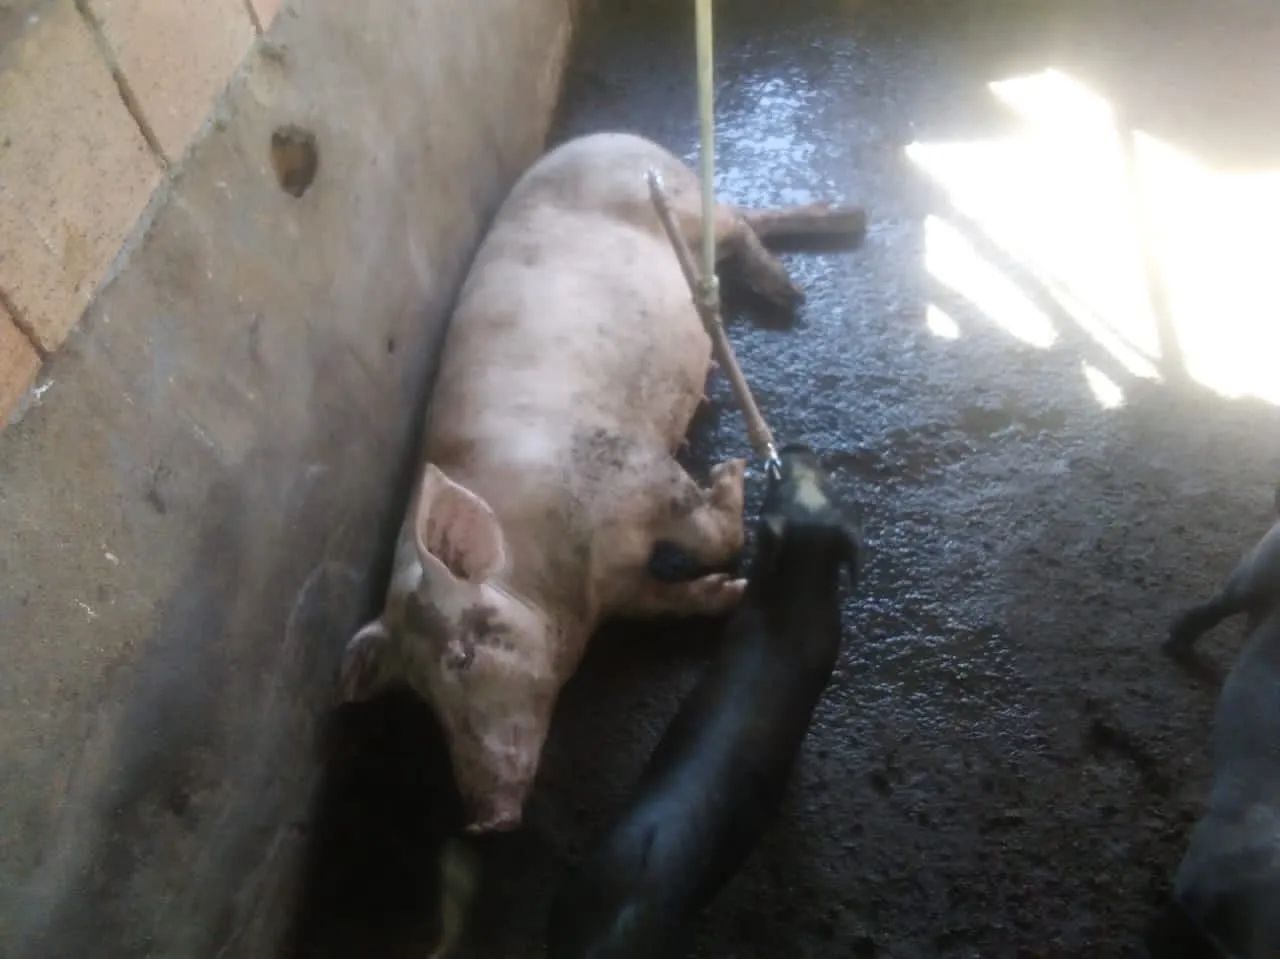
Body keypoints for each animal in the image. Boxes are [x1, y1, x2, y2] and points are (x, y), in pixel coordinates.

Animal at [338, 132, 864, 833]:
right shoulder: (621, 589)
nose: (485, 821)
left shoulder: (634, 465)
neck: (570, 582)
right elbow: (669, 598)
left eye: (462, 655)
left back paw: (794, 287)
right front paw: (730, 593)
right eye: (418, 694)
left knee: (732, 220)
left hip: (675, 202)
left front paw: (729, 473)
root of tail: (610, 138)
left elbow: (712, 532)